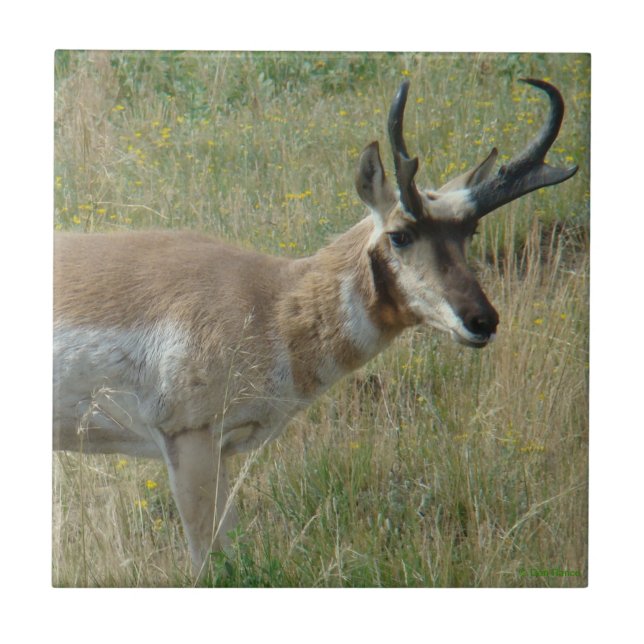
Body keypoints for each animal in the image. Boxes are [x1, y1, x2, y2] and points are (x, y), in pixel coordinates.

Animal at [53, 79, 577, 578]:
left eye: (470, 232)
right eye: (400, 235)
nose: (482, 320)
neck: (270, 299)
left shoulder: (222, 453)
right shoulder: (189, 439)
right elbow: (209, 564)